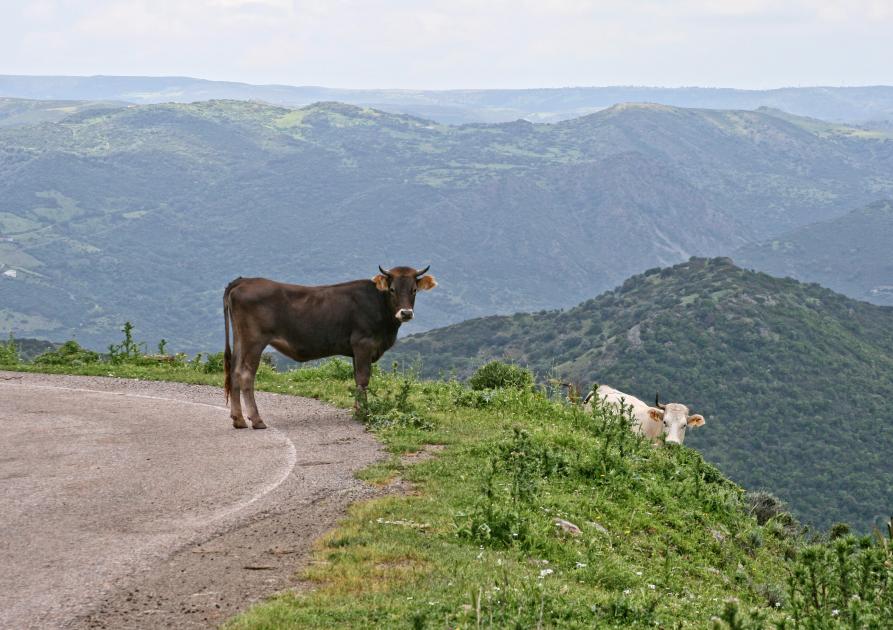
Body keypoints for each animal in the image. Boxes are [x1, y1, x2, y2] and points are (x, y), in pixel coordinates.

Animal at [223, 265, 437, 429]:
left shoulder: (356, 350)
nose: (406, 313)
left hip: (240, 339)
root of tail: (244, 281)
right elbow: (363, 379)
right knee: (245, 374)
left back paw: (238, 419)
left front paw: (358, 410)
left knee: (234, 371)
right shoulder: (363, 344)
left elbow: (357, 378)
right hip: (254, 341)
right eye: (392, 289)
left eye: (414, 290)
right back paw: (256, 420)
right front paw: (364, 413)